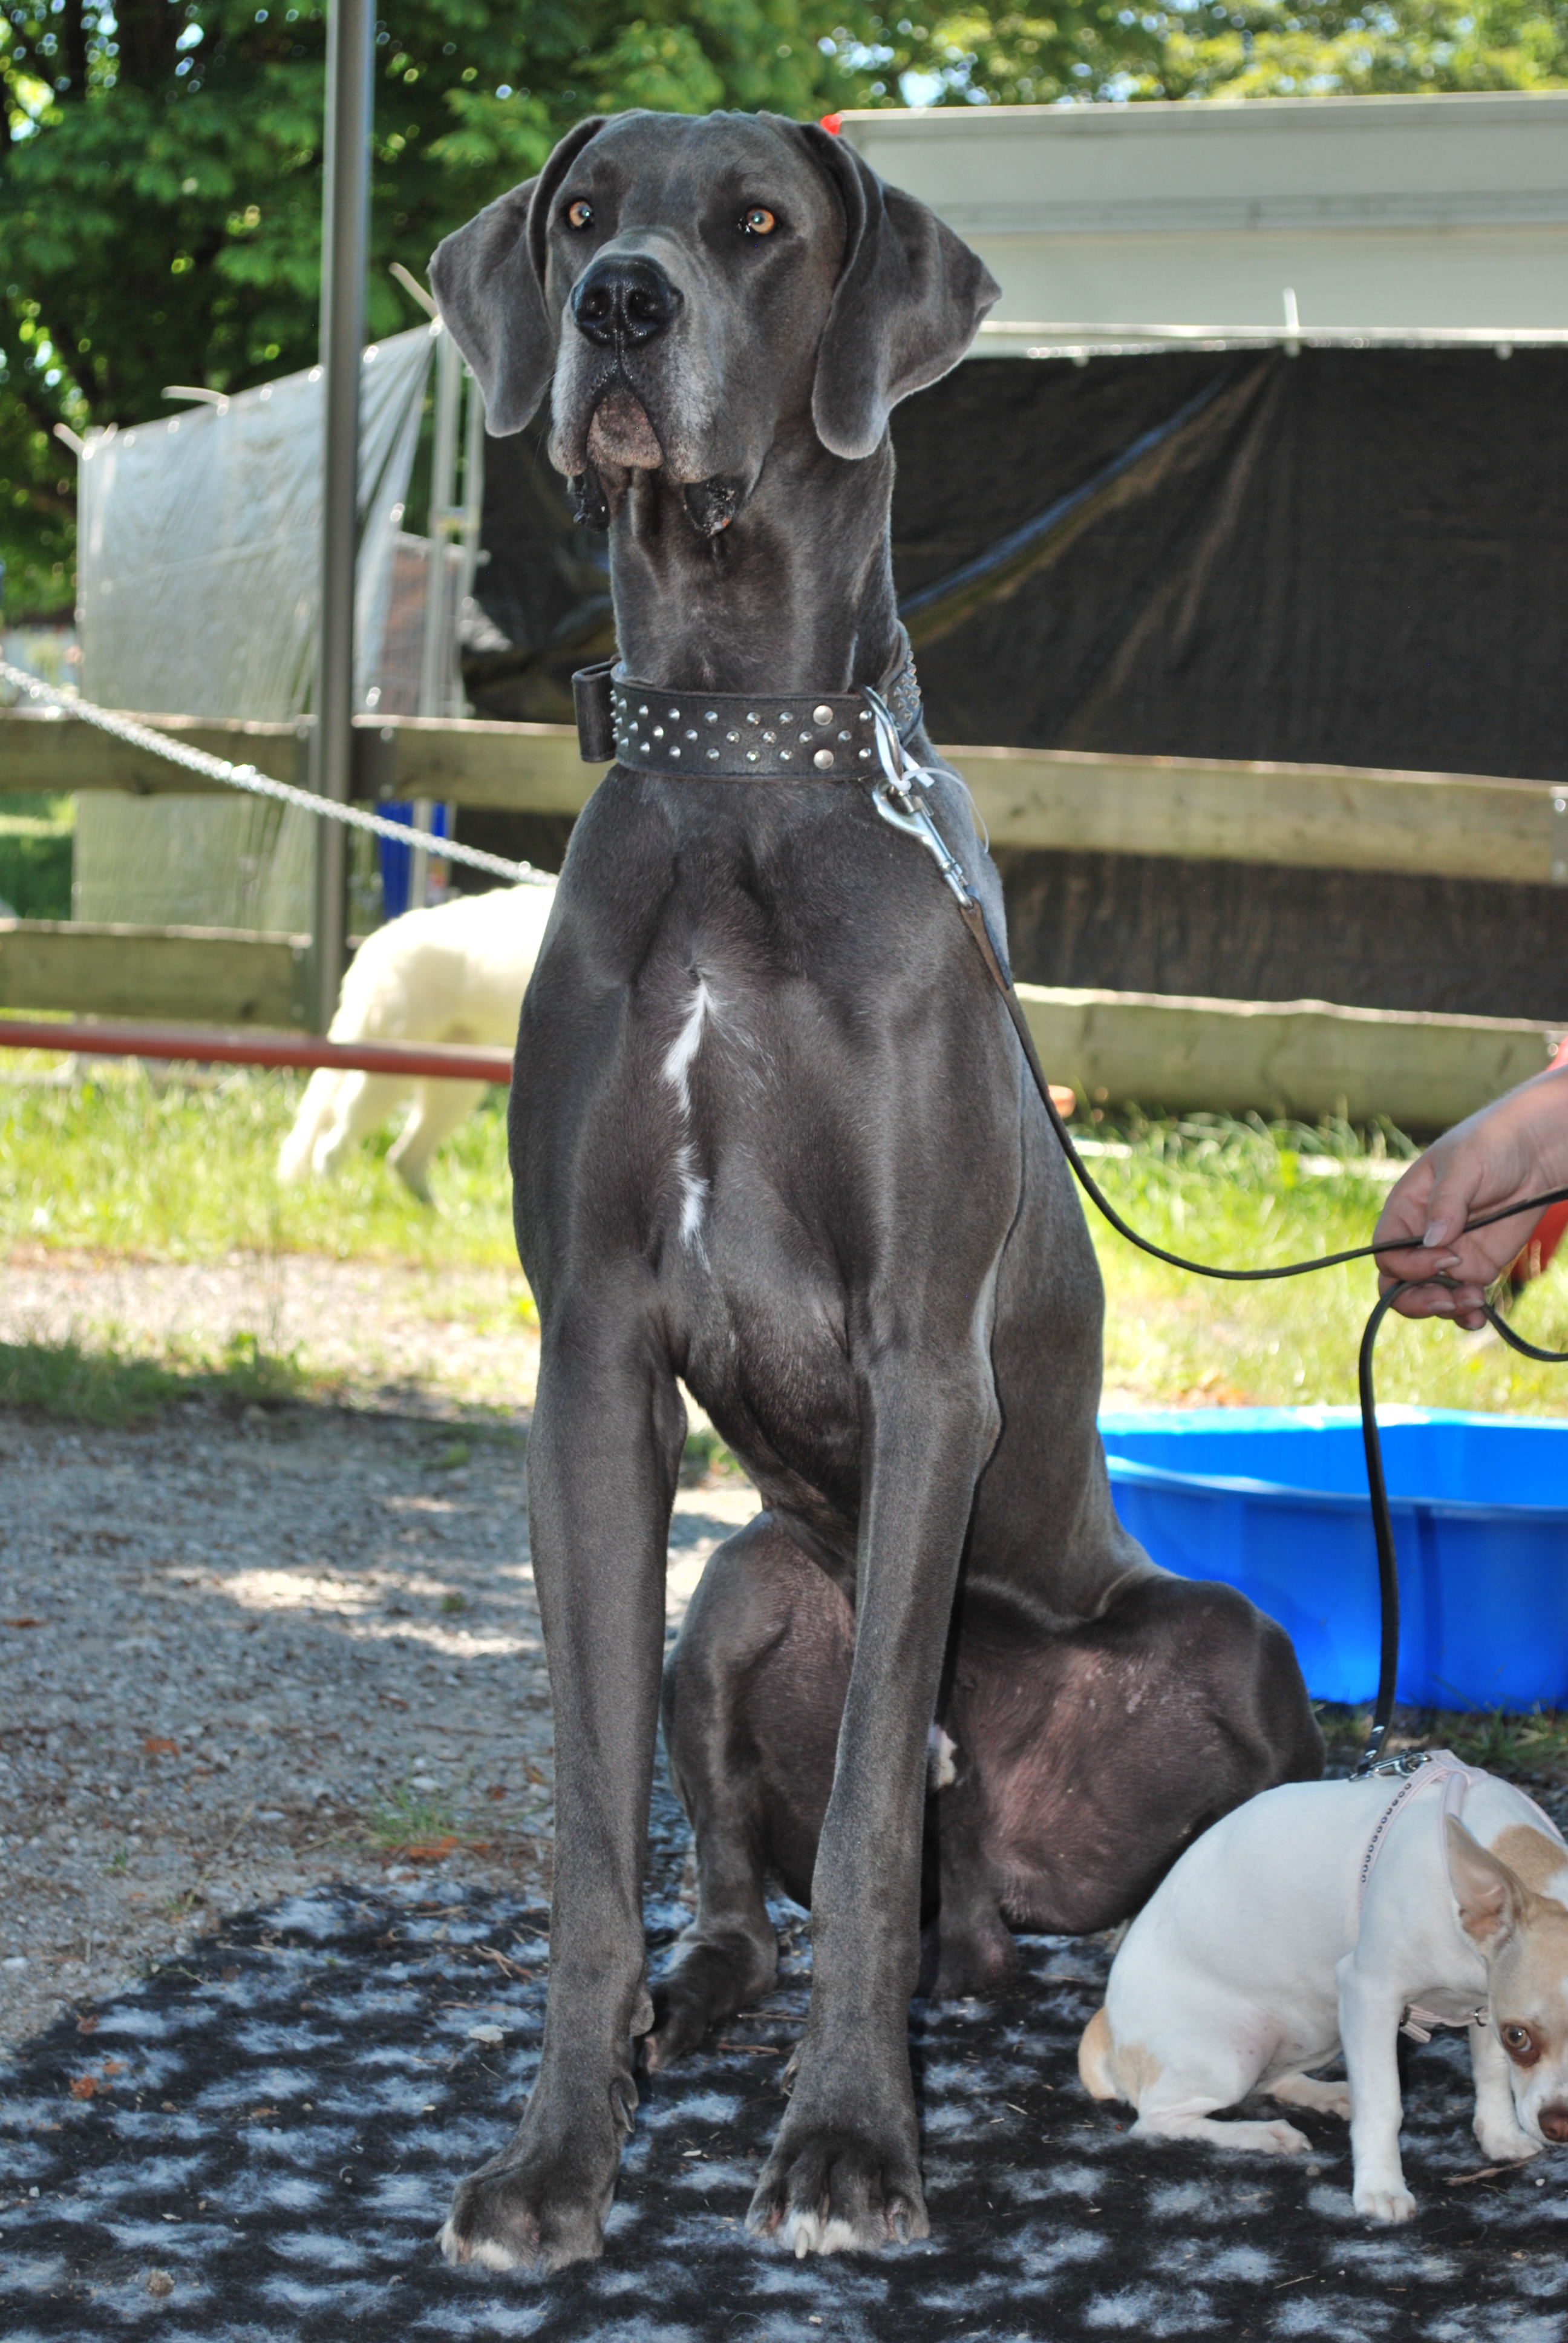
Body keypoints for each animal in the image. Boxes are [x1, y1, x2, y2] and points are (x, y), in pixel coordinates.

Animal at [278, 880, 553, 1199]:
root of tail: (381, 938)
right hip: (388, 1077)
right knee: (330, 1147)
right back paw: (337, 1198)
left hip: (455, 1086)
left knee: (403, 1159)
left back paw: (433, 1211)